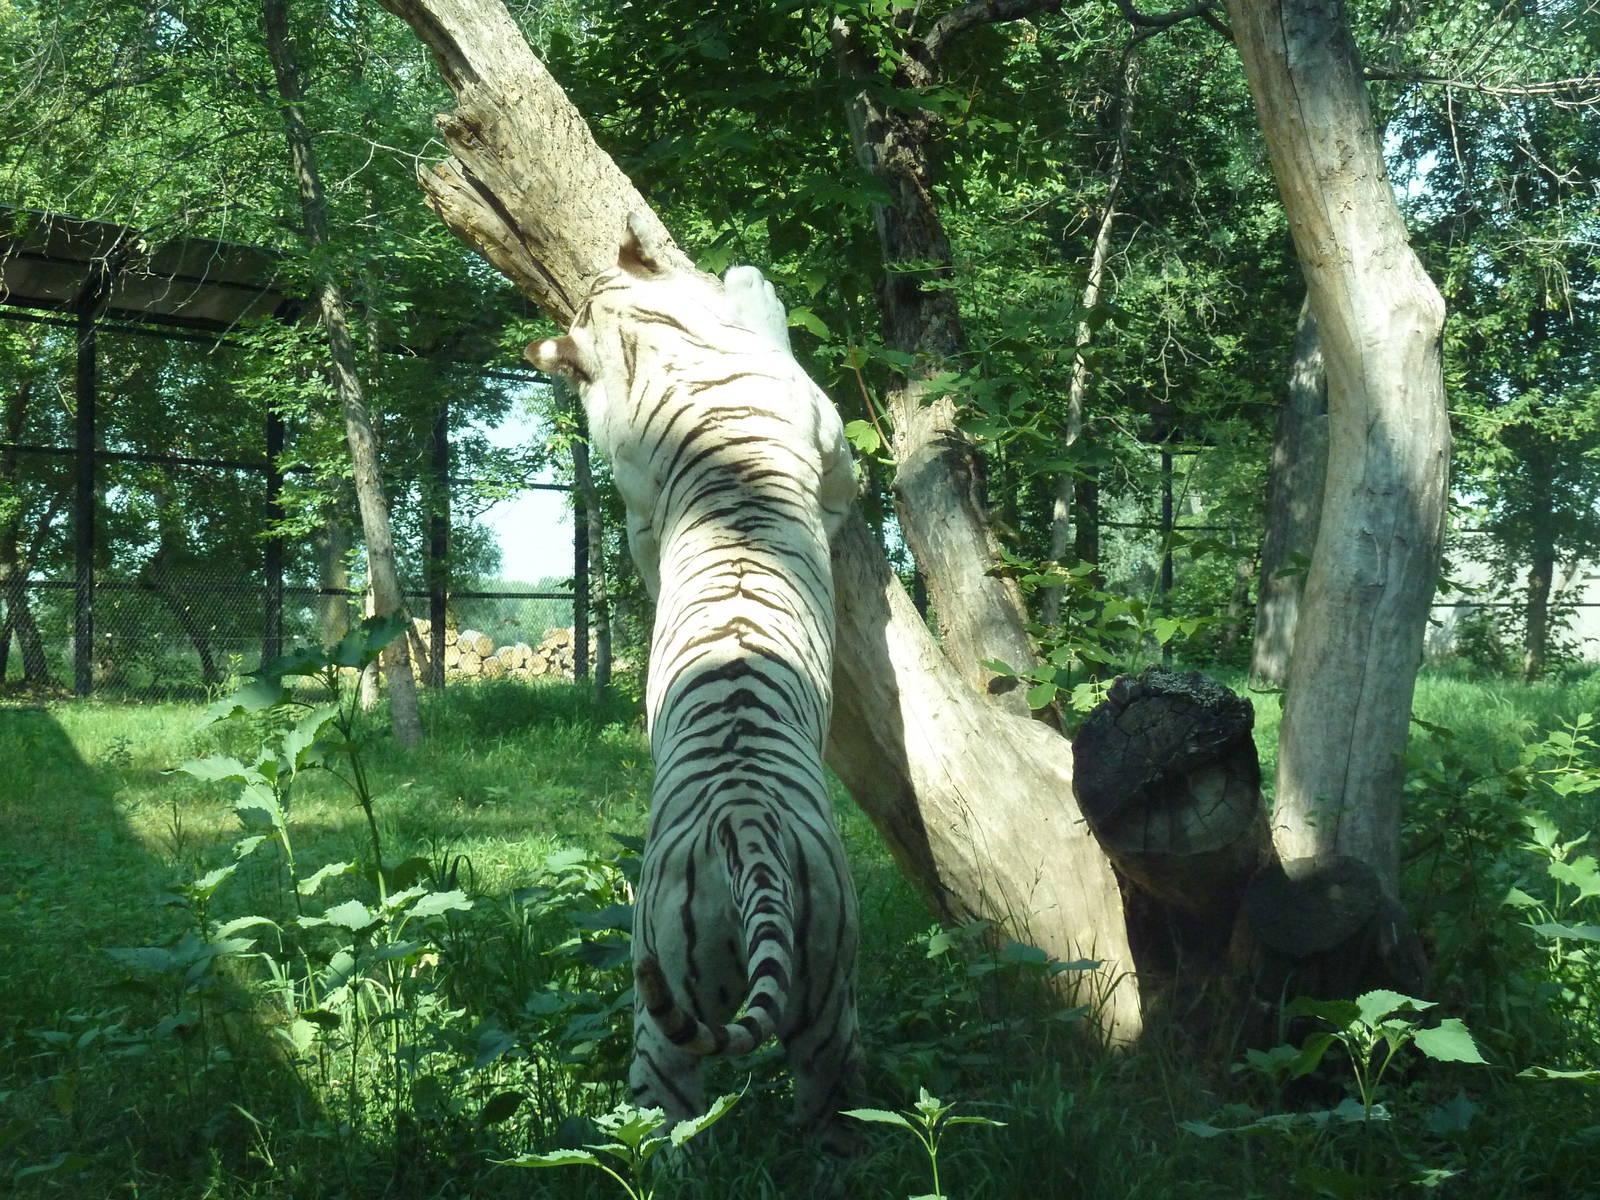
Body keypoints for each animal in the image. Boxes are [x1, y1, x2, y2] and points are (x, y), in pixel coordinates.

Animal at [526, 215, 861, 1151]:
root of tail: (743, 823)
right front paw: (752, 280)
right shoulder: (825, 427)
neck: (646, 347)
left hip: (717, 1005)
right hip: (811, 998)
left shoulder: (641, 503)